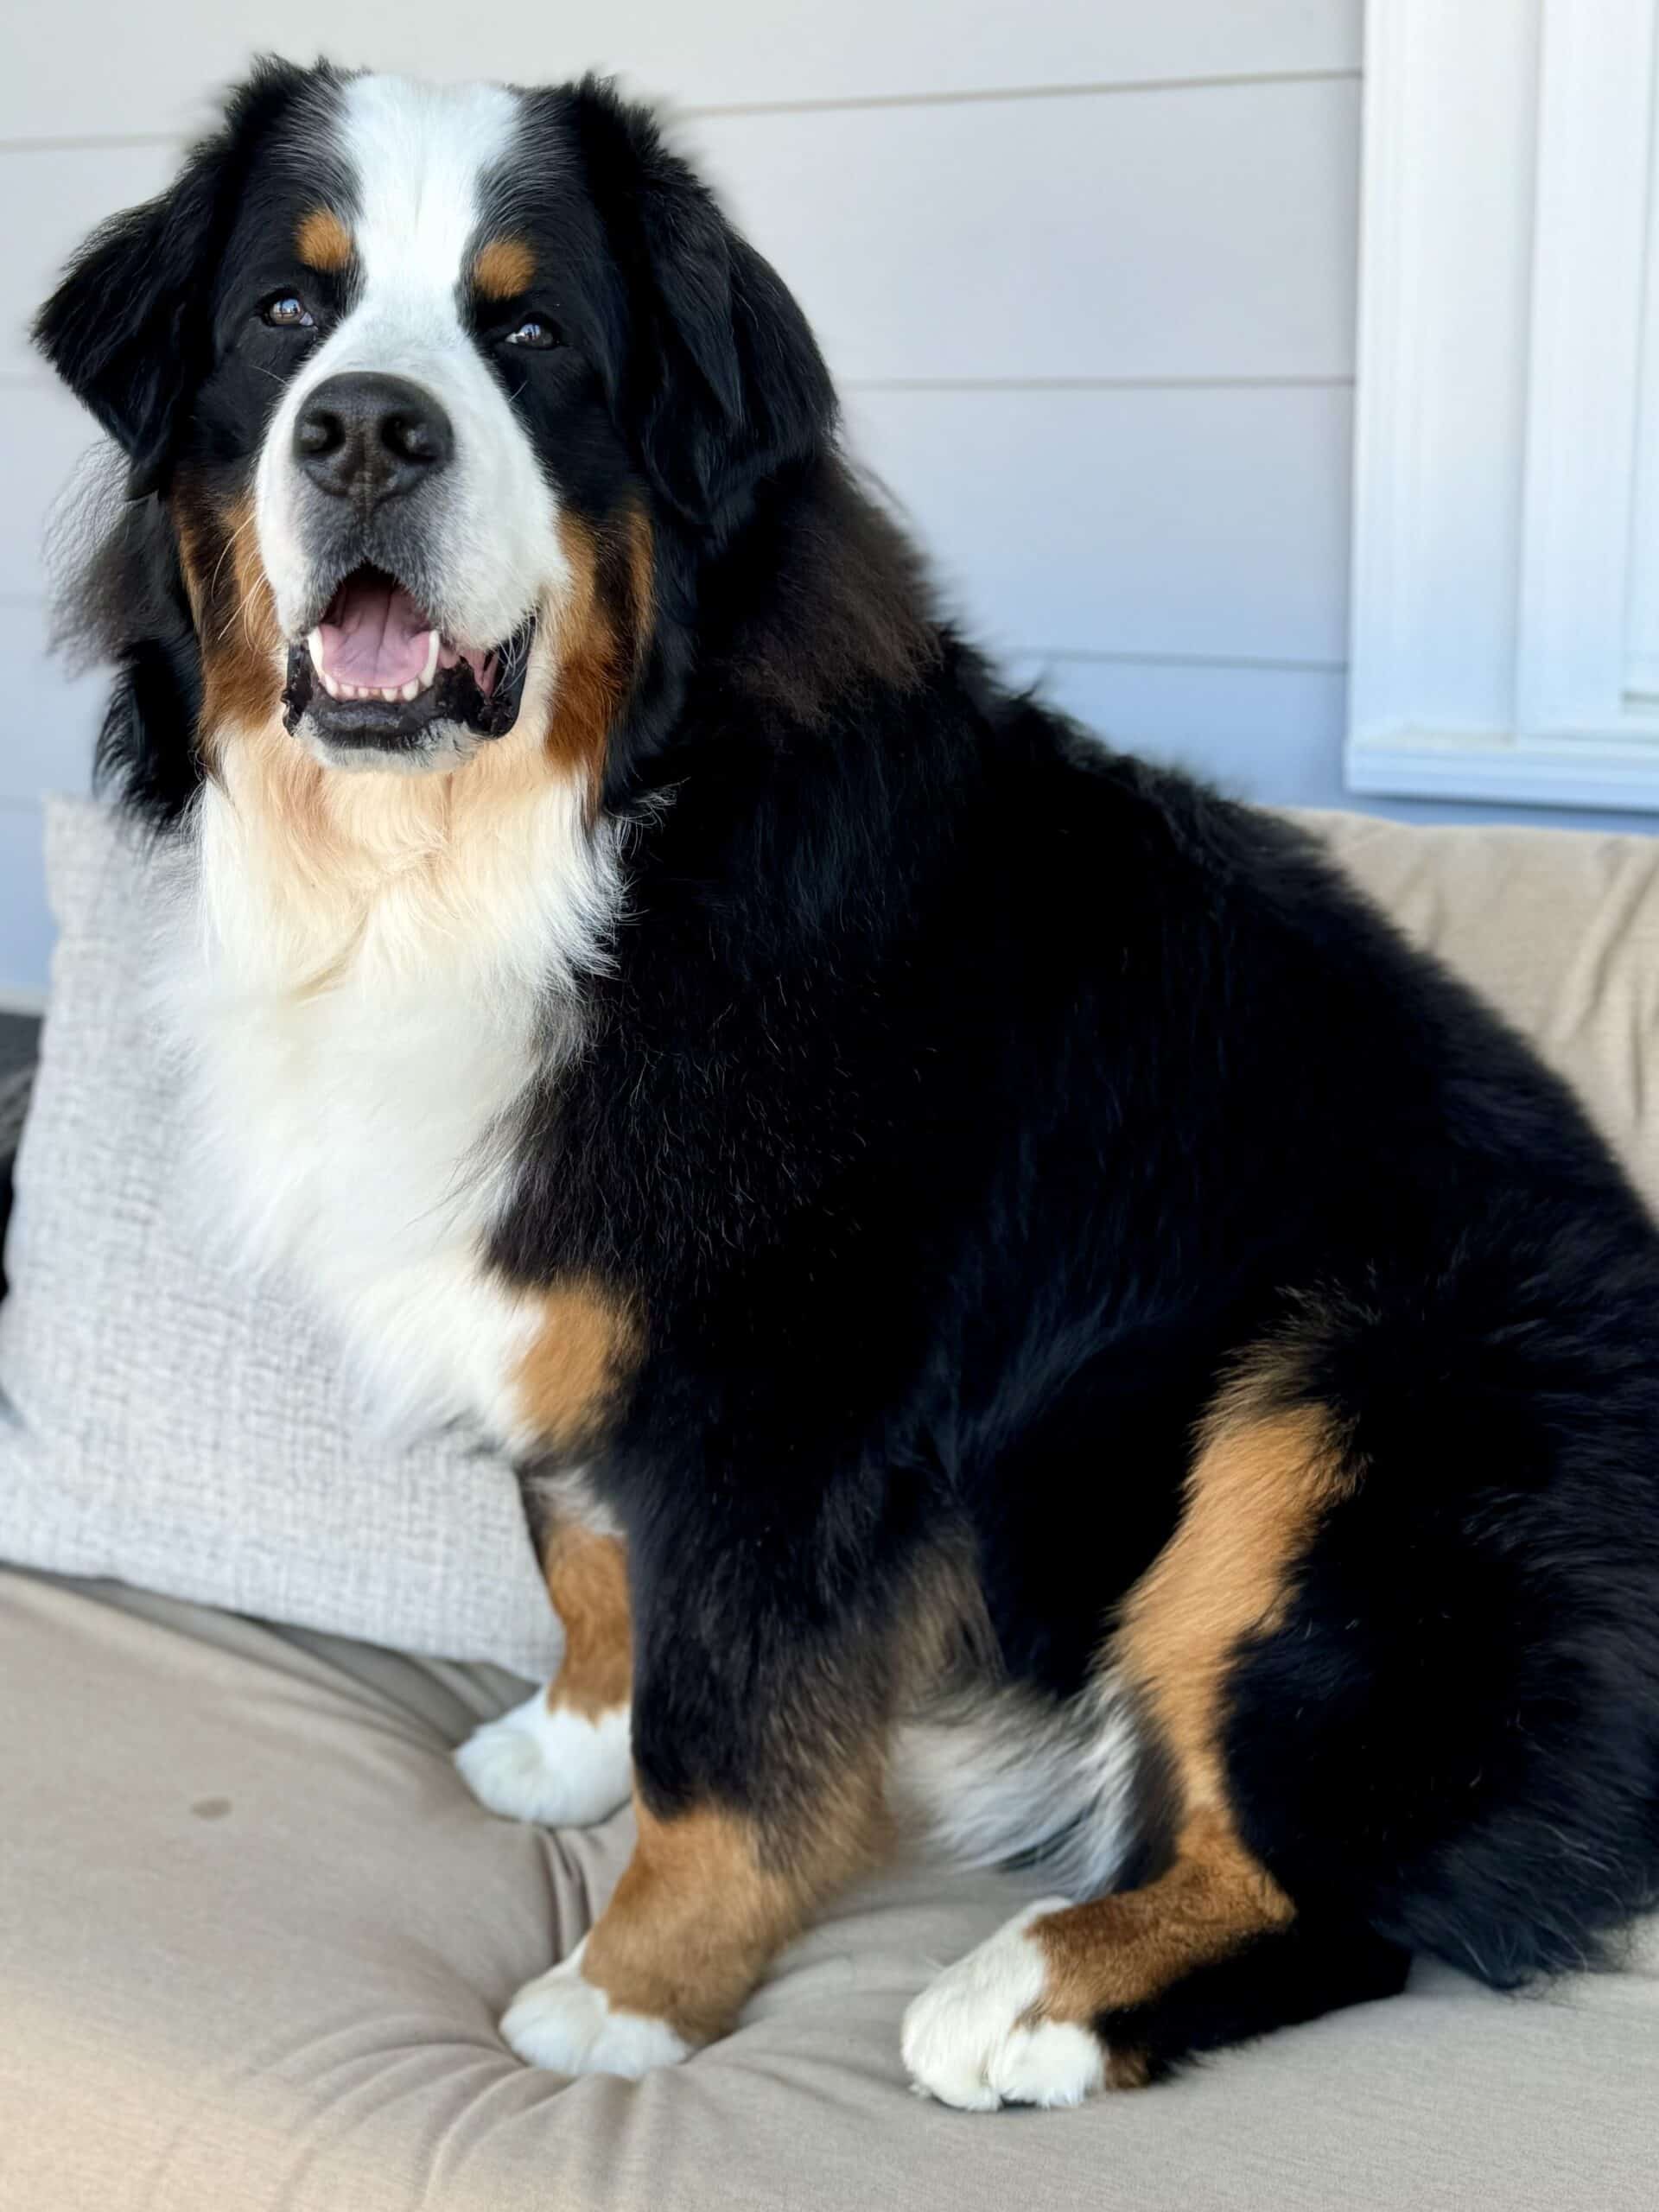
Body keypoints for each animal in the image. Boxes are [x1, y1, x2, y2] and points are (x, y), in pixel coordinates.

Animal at [35, 60, 1659, 2114]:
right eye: (281, 313)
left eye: (533, 335)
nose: (368, 432)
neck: (540, 854)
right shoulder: (592, 1288)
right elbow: (588, 1555)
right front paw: (570, 1742)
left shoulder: (796, 1387)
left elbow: (724, 1736)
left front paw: (631, 1993)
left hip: (1361, 1391)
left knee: (1349, 1885)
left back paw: (1028, 1994)